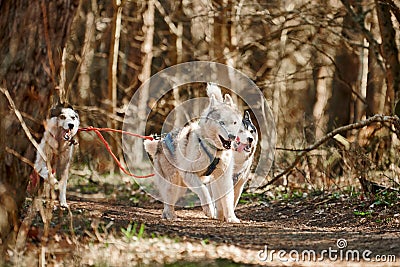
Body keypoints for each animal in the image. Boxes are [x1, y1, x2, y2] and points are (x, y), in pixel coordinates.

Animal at [145, 85, 242, 223]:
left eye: (234, 123)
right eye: (221, 123)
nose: (232, 136)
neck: (214, 151)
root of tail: (159, 143)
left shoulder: (224, 178)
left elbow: (228, 199)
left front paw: (231, 218)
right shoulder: (189, 174)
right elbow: (204, 191)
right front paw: (209, 210)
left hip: (181, 187)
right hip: (173, 184)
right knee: (168, 201)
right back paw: (170, 215)